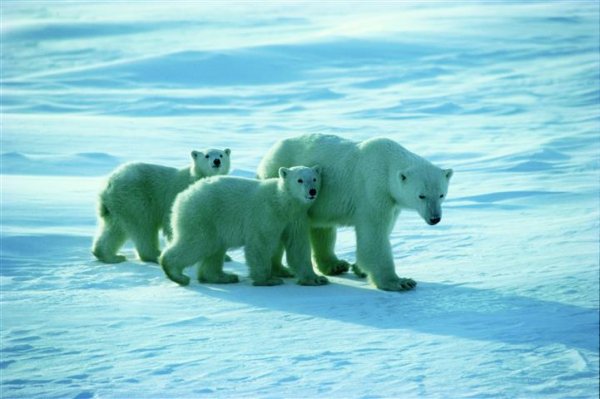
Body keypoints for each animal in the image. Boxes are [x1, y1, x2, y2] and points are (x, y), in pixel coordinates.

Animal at [92, 148, 231, 264]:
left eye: (221, 155)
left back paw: (110, 256)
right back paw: (154, 254)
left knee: (115, 228)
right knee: (143, 226)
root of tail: (109, 184)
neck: (196, 178)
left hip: (118, 204)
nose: (217, 161)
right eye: (207, 155)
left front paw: (226, 257)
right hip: (135, 198)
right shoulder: (177, 195)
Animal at [159, 166, 328, 288]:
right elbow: (260, 243)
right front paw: (268, 280)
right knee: (199, 243)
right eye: (300, 180)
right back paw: (177, 274)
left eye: (314, 178)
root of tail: (183, 196)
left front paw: (316, 279)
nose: (312, 191)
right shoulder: (267, 213)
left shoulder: (296, 219)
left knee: (214, 248)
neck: (283, 203)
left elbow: (298, 246)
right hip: (203, 214)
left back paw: (224, 277)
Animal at [255, 133, 452, 292]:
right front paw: (399, 282)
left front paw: (358, 268)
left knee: (322, 228)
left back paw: (335, 265)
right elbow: (374, 235)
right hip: (284, 186)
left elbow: (384, 229)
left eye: (441, 194)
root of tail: (266, 158)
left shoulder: (392, 201)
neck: (388, 163)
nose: (435, 218)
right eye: (421, 196)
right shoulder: (373, 189)